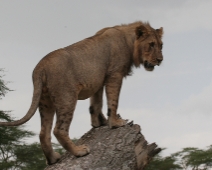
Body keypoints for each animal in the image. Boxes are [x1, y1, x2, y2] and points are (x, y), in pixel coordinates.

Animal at [0, 21, 164, 165]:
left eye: (161, 45)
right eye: (151, 44)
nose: (160, 60)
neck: (129, 41)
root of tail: (40, 67)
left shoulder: (98, 80)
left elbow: (96, 104)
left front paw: (99, 123)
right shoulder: (114, 75)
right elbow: (113, 101)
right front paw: (116, 123)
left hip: (45, 101)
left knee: (43, 133)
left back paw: (53, 159)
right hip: (67, 97)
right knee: (59, 130)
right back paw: (79, 151)